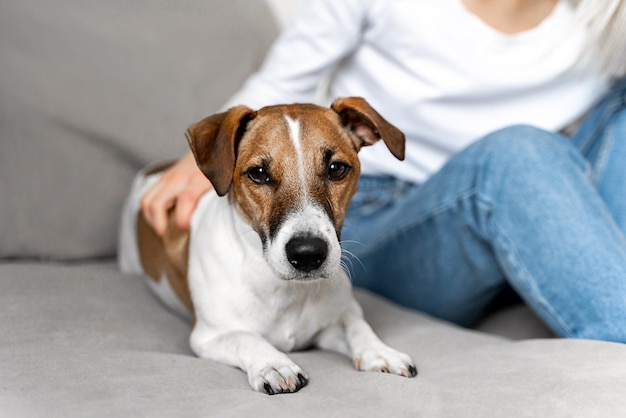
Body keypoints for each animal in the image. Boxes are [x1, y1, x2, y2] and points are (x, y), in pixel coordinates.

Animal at [119, 96, 416, 394]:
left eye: (336, 169)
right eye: (259, 173)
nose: (307, 254)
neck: (285, 290)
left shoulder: (335, 319)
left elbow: (357, 325)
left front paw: (380, 351)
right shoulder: (210, 336)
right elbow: (246, 338)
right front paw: (274, 364)